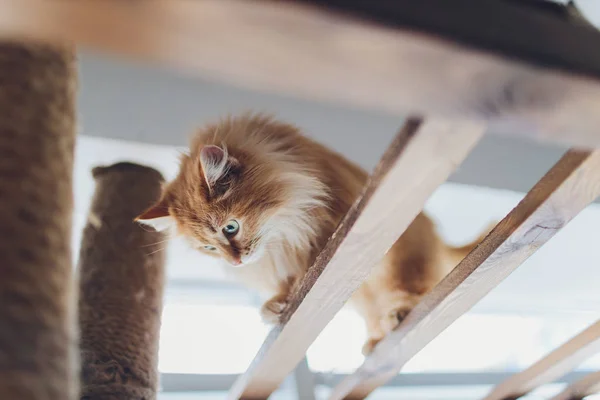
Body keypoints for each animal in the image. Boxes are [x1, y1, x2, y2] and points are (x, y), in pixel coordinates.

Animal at [138, 112, 490, 354]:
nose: (236, 262)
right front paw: (274, 306)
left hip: (403, 264)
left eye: (230, 228)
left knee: (408, 292)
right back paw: (374, 341)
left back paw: (397, 315)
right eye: (208, 249)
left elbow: (310, 258)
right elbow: (282, 287)